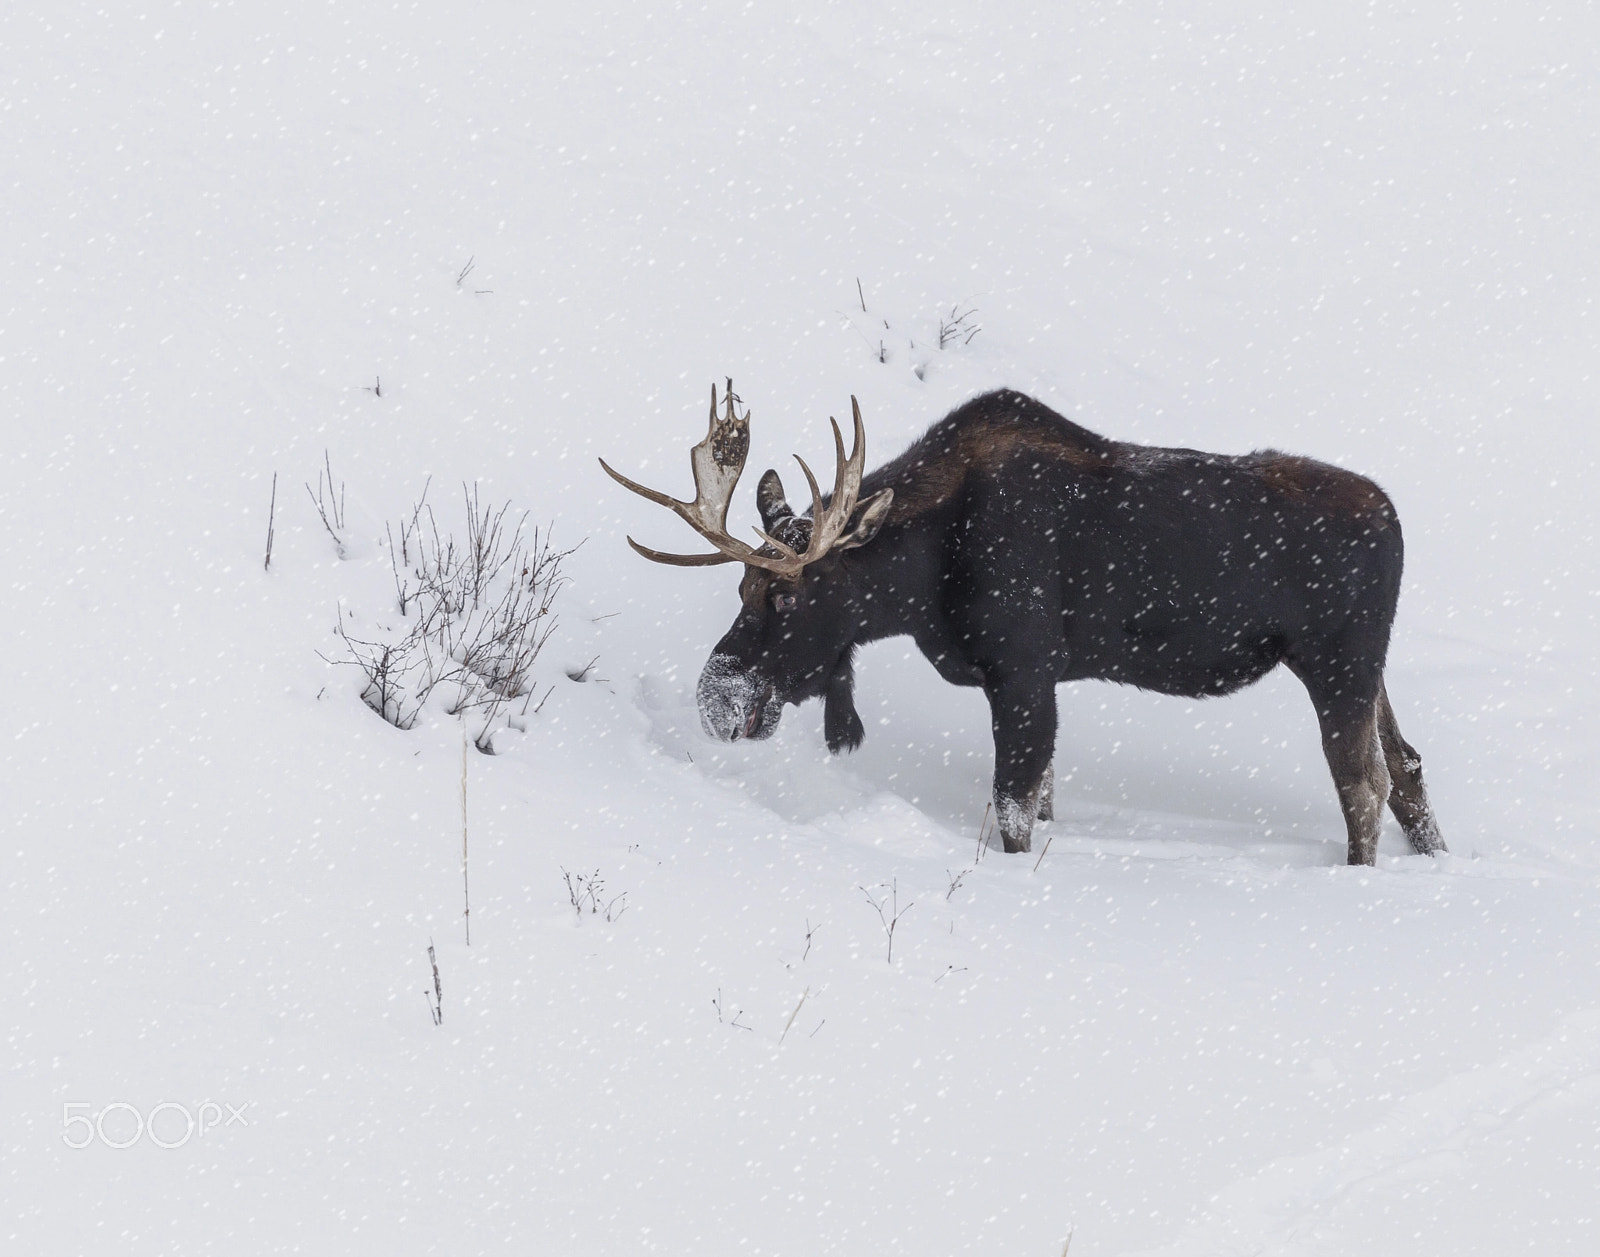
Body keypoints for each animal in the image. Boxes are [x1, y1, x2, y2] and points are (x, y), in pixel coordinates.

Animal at [601, 383, 1444, 865]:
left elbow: (1013, 806)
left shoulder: (1024, 670)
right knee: (1406, 766)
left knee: (1363, 783)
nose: (715, 696)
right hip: (1366, 670)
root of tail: (1398, 519)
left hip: (1337, 663)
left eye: (786, 597)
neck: (920, 576)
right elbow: (1038, 798)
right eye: (742, 585)